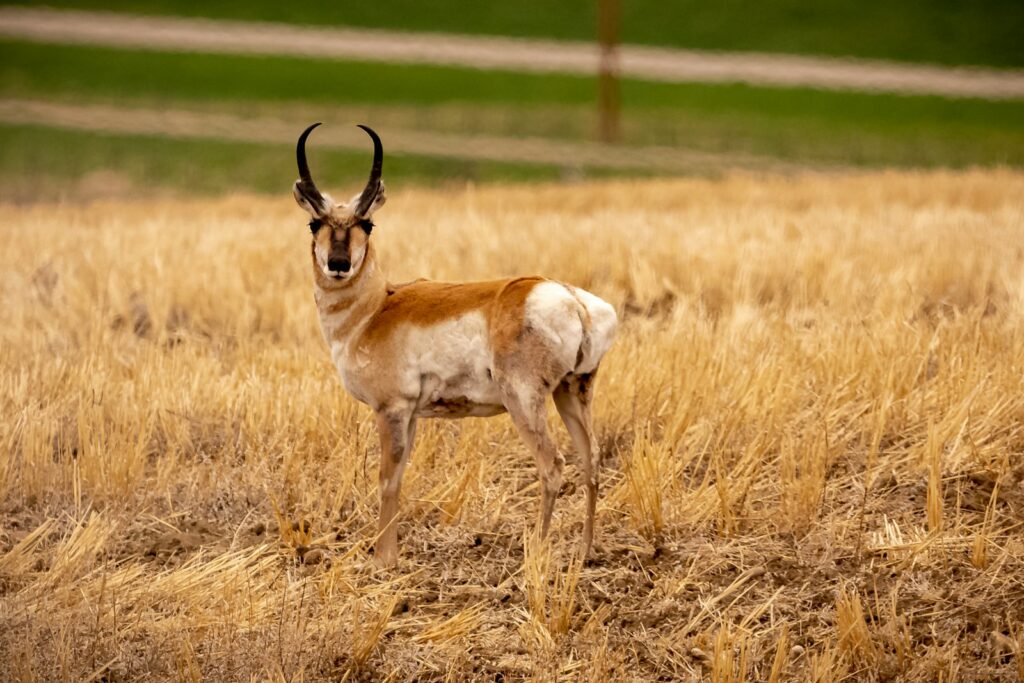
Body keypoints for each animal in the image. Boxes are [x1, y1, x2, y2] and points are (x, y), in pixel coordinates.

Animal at [292, 123, 618, 567]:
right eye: (314, 224)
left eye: (368, 224)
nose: (338, 264)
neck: (376, 308)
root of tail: (570, 298)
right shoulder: (411, 415)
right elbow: (399, 477)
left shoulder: (391, 410)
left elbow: (386, 479)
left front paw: (383, 561)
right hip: (572, 394)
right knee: (592, 461)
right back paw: (583, 554)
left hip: (525, 401)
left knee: (553, 465)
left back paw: (535, 554)